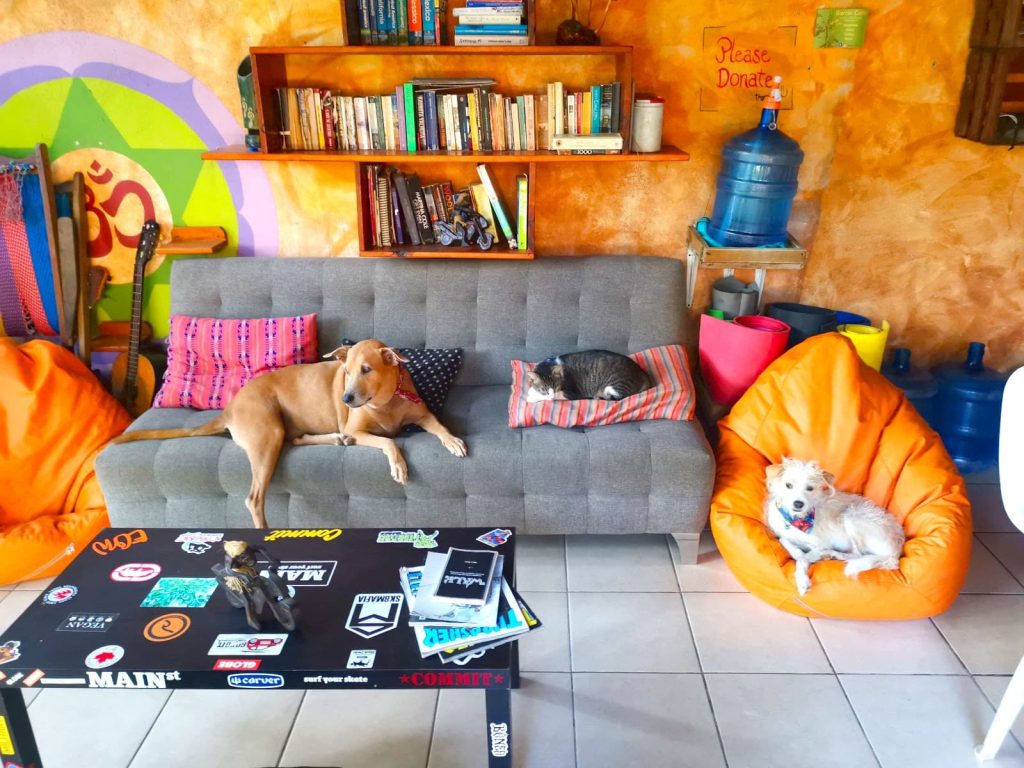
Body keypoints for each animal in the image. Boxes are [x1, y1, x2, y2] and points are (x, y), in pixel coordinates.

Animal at [110, 342, 466, 528]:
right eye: (347, 372)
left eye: (367, 370)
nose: (346, 398)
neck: (387, 400)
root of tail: (230, 408)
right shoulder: (358, 427)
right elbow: (388, 441)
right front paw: (399, 466)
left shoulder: (422, 414)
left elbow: (439, 426)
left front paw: (453, 441)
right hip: (268, 435)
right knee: (254, 498)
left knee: (298, 440)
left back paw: (334, 440)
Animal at [765, 460, 909, 598]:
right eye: (788, 485)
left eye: (810, 488)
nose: (798, 504)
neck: (795, 519)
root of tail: (897, 549)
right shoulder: (782, 534)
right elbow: (785, 540)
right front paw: (798, 552)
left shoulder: (822, 544)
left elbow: (802, 559)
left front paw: (802, 581)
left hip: (852, 516)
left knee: (858, 555)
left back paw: (832, 554)